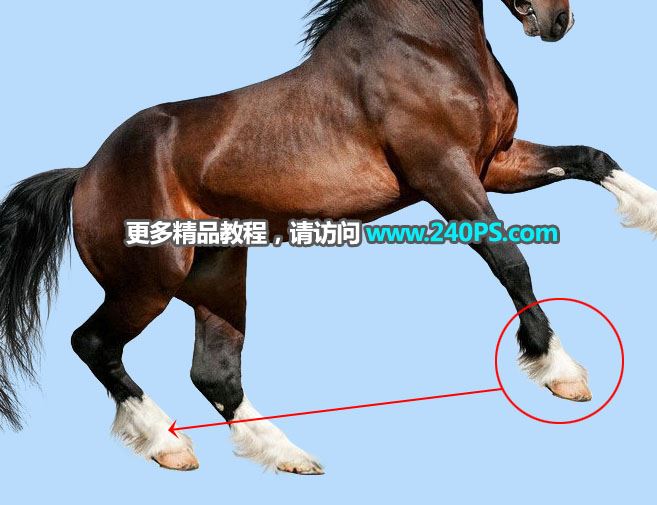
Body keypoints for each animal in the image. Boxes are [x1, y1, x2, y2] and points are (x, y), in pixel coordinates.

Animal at [0, 0, 654, 474]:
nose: (556, 20)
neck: (427, 46)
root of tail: (86, 174)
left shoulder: (497, 162)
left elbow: (590, 157)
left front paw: (647, 210)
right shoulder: (445, 174)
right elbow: (509, 261)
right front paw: (560, 371)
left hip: (218, 273)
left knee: (215, 373)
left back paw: (288, 456)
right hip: (149, 281)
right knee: (94, 344)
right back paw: (169, 445)